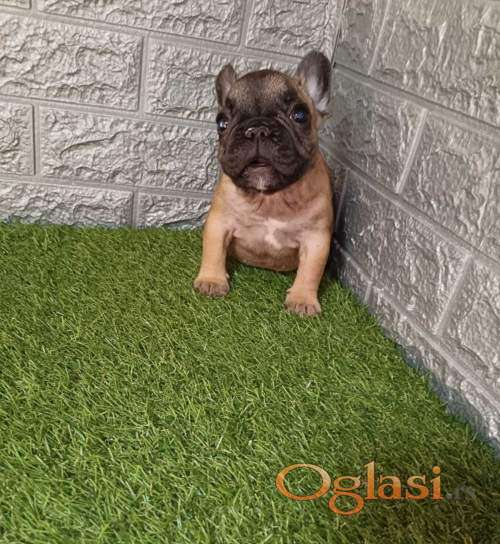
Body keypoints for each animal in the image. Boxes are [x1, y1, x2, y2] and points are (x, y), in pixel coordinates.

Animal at [193, 51, 334, 316]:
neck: (270, 197)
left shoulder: (316, 239)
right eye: (221, 122)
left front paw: (302, 299)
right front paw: (212, 280)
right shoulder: (219, 223)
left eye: (300, 115)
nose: (256, 129)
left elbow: (311, 271)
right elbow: (213, 251)